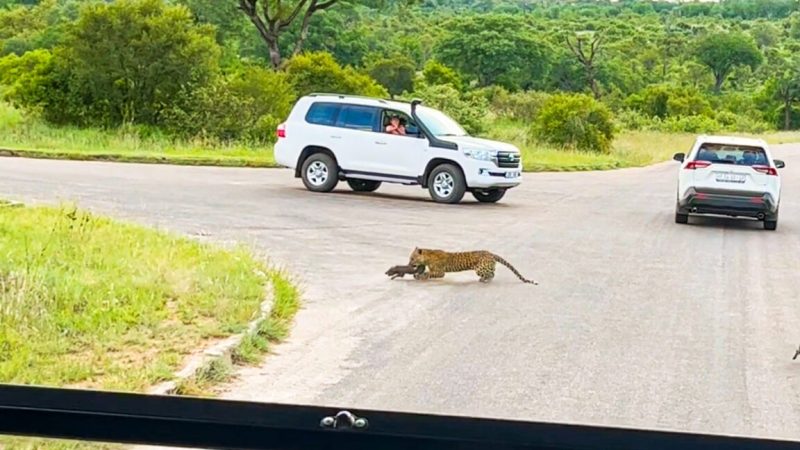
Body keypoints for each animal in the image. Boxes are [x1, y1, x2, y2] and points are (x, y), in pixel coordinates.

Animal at [407, 247, 537, 284]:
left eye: (412, 258)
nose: (408, 264)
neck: (427, 256)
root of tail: (490, 253)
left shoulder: (440, 272)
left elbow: (429, 273)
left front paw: (420, 276)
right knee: (493, 271)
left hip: (480, 268)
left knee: (492, 273)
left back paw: (484, 280)